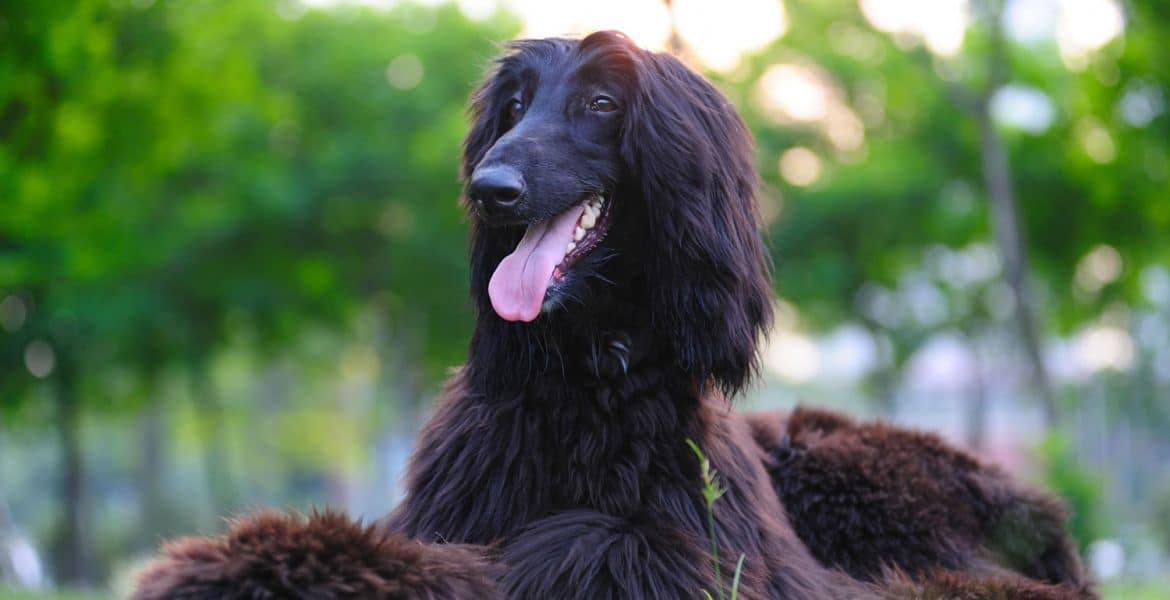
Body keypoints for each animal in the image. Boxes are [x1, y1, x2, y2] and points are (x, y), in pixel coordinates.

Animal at [132, 32, 1090, 598]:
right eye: (514, 106)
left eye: (600, 104)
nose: (490, 189)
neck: (587, 380)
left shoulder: (722, 558)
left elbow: (595, 539)